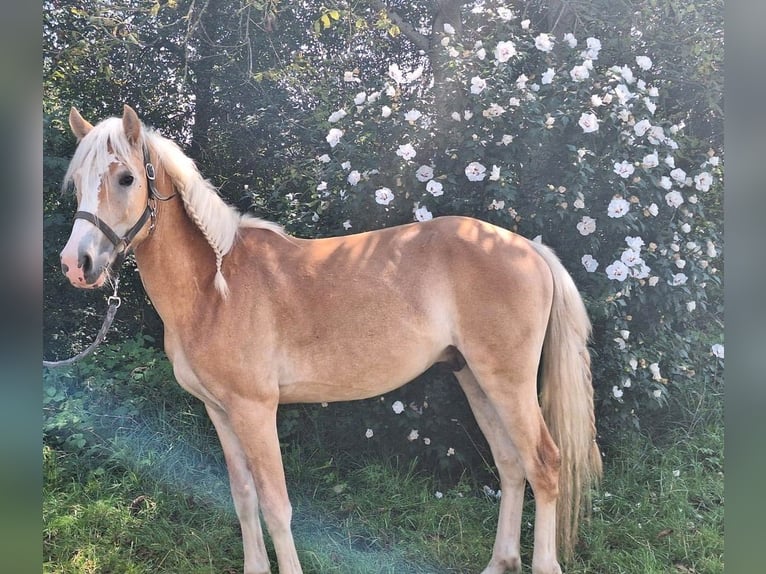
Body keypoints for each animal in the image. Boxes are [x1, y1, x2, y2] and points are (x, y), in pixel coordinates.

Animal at [57, 106, 604, 572]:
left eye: (127, 178)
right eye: (78, 184)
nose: (76, 265)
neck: (215, 287)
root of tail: (528, 248)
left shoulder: (255, 410)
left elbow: (276, 505)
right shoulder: (220, 411)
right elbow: (243, 497)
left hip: (507, 382)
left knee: (545, 464)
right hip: (474, 377)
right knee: (512, 466)